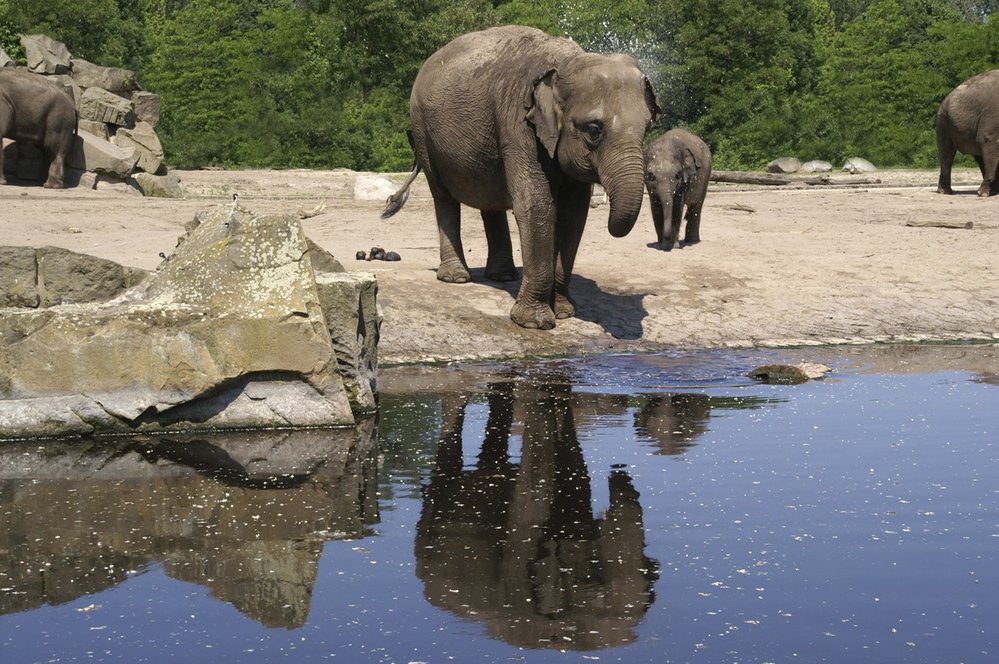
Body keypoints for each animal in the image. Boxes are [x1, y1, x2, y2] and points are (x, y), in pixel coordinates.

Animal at [384, 24, 664, 330]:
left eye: (648, 127)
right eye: (593, 129)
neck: (565, 62)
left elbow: (573, 214)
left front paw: (565, 312)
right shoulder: (518, 124)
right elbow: (537, 206)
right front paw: (534, 323)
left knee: (489, 199)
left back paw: (502, 276)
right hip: (423, 131)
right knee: (443, 197)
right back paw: (456, 277)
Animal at [932, 68, 999, 197]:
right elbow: (988, 140)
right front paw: (983, 194)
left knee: (978, 154)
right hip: (943, 120)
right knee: (947, 154)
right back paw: (945, 191)